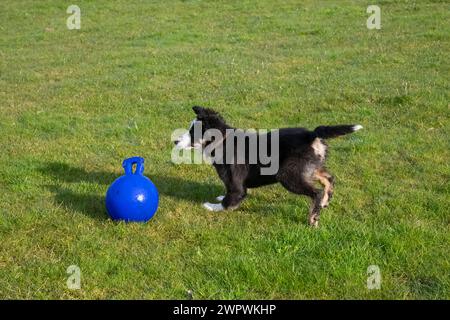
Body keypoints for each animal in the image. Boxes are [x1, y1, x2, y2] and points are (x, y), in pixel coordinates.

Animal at [172, 106, 362, 226]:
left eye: (192, 132)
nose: (175, 141)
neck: (222, 141)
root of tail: (311, 134)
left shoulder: (236, 184)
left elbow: (230, 200)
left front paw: (212, 206)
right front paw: (219, 198)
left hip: (288, 174)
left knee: (316, 192)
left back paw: (313, 218)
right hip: (309, 168)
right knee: (329, 178)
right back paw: (325, 202)